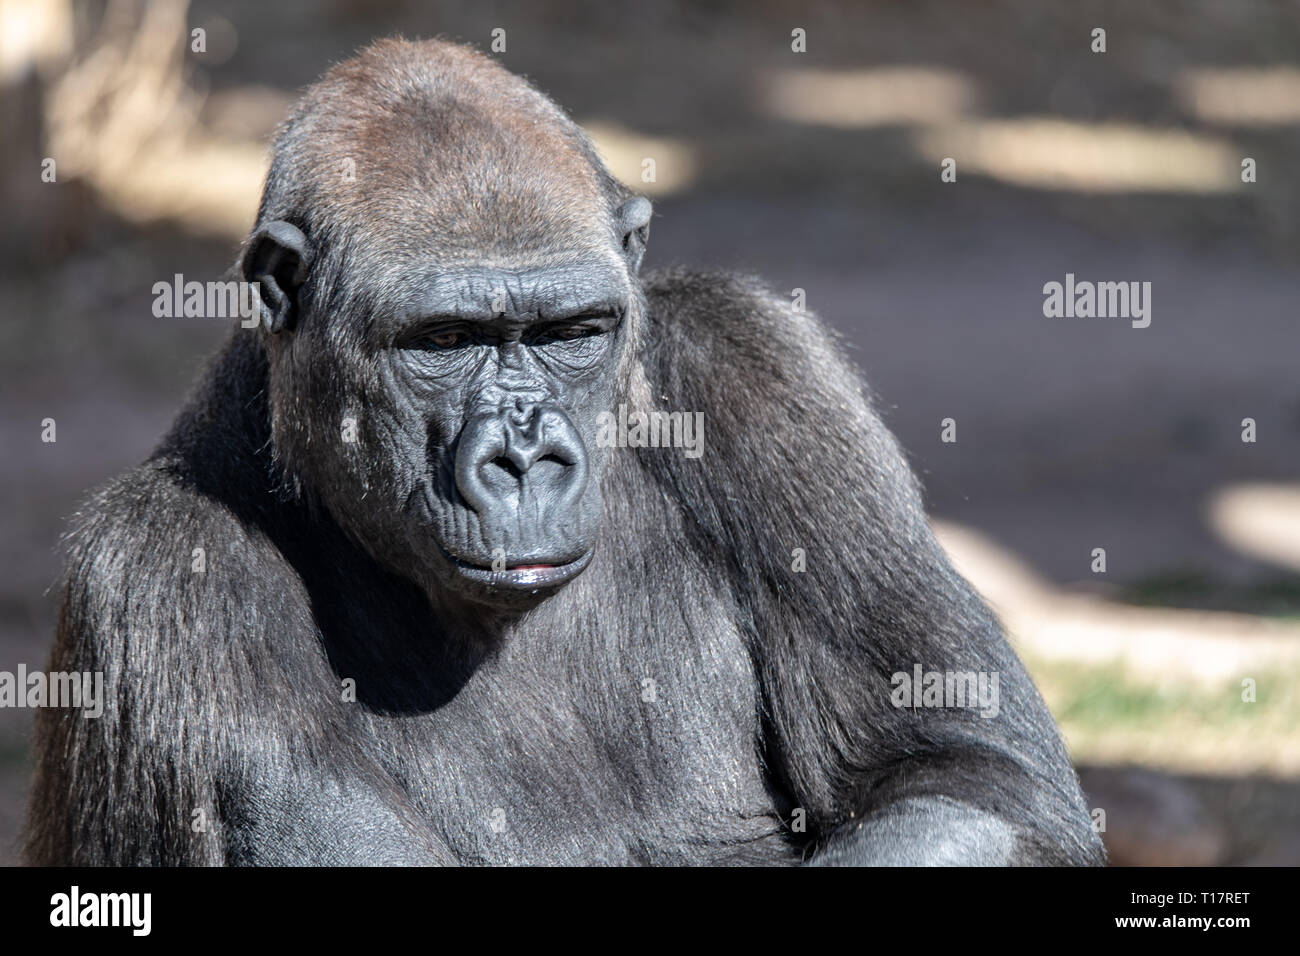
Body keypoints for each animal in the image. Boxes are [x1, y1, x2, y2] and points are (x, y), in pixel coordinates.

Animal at [22, 37, 1107, 868]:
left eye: (570, 332)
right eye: (444, 341)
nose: (524, 462)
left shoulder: (757, 365)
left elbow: (957, 773)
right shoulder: (161, 569)